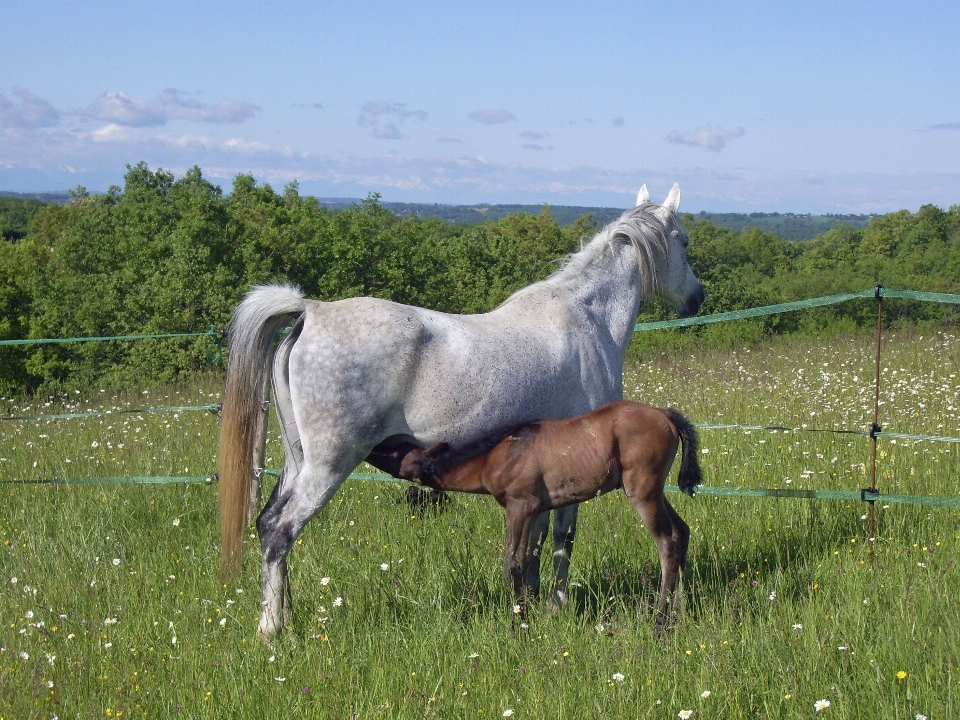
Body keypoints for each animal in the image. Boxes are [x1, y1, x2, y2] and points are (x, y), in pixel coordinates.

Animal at [394, 400, 700, 636]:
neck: (498, 453)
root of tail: (665, 415)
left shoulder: (520, 505)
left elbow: (514, 563)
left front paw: (520, 622)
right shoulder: (536, 510)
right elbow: (530, 558)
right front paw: (529, 611)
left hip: (643, 492)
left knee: (668, 542)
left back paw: (660, 622)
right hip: (656, 492)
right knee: (682, 531)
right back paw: (679, 610)